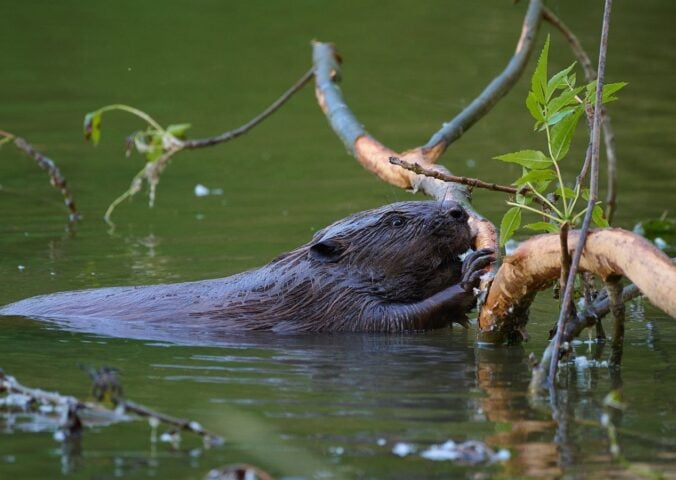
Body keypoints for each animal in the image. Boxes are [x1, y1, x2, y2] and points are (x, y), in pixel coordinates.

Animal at [1, 200, 496, 334]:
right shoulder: (331, 303)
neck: (303, 273)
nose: (458, 212)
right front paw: (473, 273)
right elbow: (393, 322)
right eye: (395, 220)